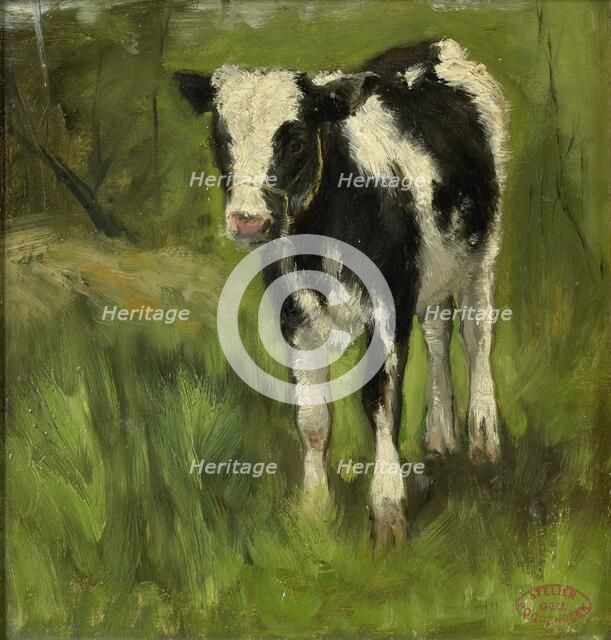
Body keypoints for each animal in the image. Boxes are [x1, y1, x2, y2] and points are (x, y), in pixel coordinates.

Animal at [175, 38, 507, 545]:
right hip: (435, 266)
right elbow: (312, 421)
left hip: (482, 251)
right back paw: (440, 435)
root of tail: (433, 46)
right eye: (221, 137)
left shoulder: (389, 310)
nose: (247, 220)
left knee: (477, 334)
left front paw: (388, 511)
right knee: (438, 332)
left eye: (294, 139)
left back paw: (483, 438)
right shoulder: (295, 319)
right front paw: (314, 513)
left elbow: (381, 402)